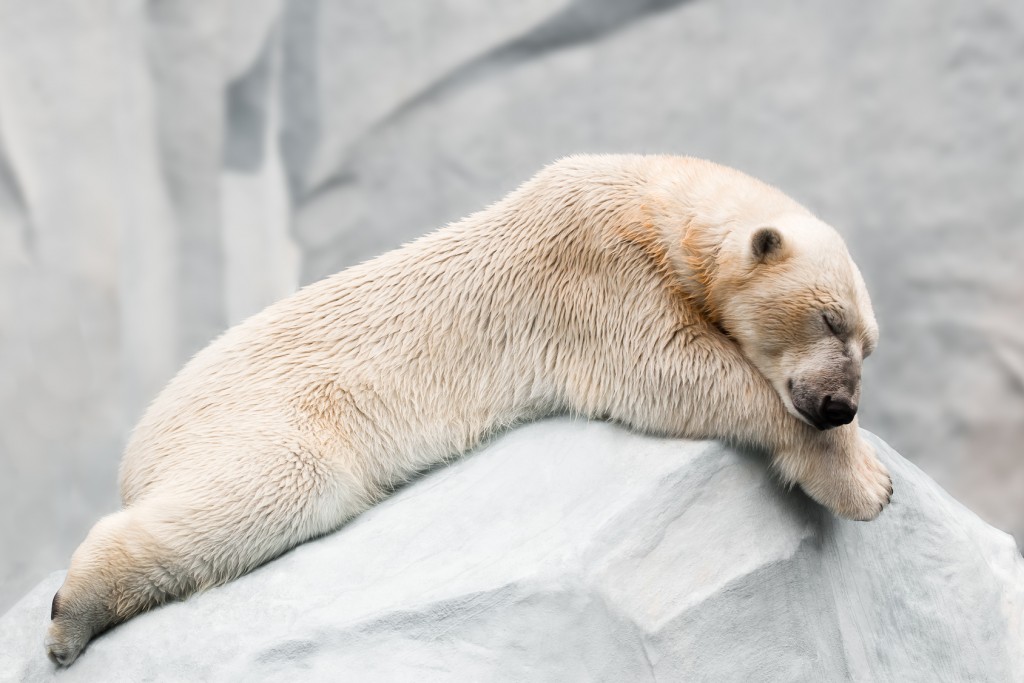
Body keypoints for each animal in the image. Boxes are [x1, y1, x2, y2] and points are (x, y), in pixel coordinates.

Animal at [44, 155, 890, 665]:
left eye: (868, 342)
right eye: (828, 319)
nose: (838, 404)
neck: (650, 199)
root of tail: (141, 444)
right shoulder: (597, 273)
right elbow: (675, 368)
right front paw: (868, 483)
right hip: (261, 413)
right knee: (269, 487)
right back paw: (71, 613)